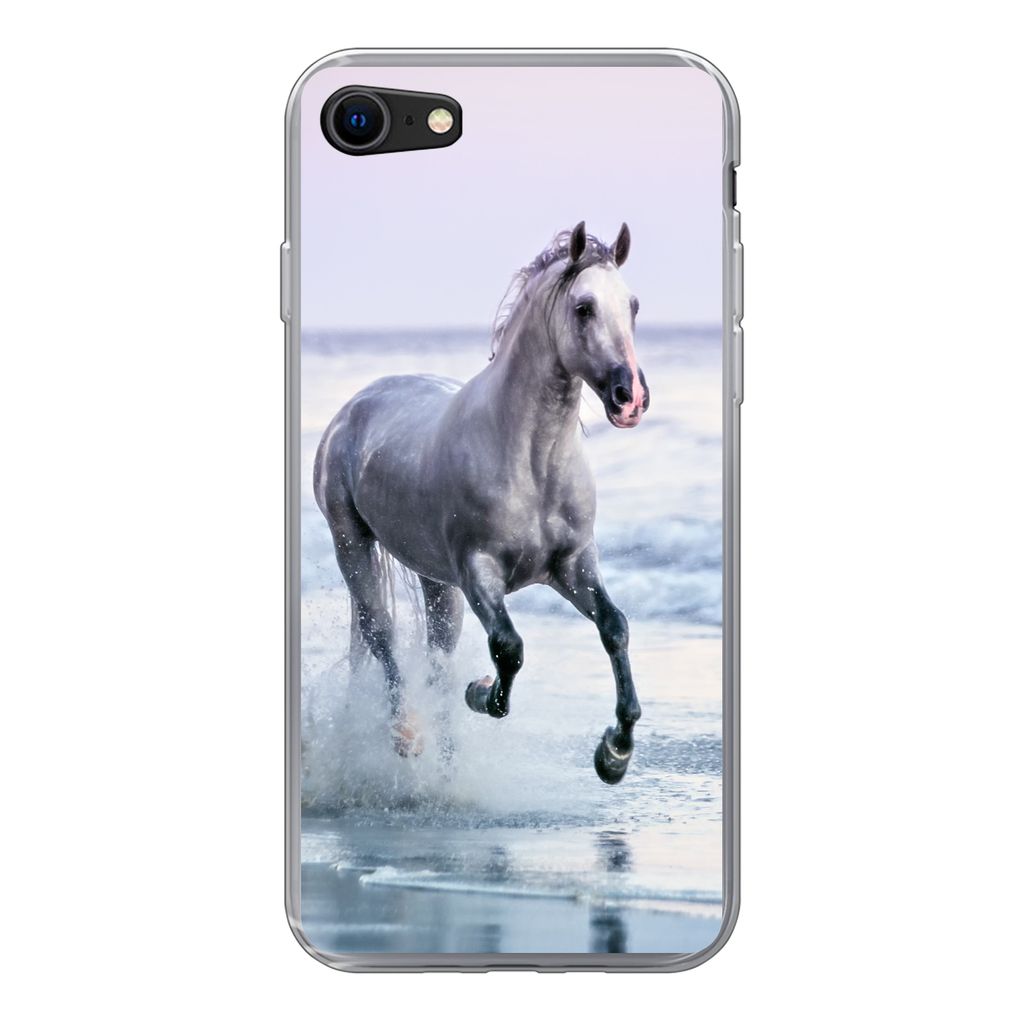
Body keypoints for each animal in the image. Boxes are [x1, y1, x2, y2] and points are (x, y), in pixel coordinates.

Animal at [313, 221, 650, 784]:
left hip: (434, 580)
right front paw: (481, 692)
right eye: (583, 308)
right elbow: (508, 649)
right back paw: (406, 734)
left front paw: (614, 755)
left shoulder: (573, 566)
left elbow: (615, 628)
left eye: (633, 305)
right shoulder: (479, 571)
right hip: (353, 546)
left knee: (436, 658)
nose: (631, 398)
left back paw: (449, 770)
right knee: (383, 636)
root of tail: (352, 409)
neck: (531, 460)